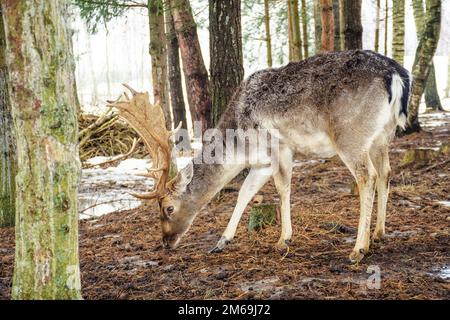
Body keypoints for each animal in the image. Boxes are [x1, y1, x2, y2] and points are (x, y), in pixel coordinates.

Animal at [109, 48, 412, 262]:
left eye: (168, 208)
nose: (166, 242)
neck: (239, 147)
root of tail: (396, 75)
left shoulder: (279, 147)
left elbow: (283, 189)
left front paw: (283, 240)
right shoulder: (262, 162)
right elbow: (245, 192)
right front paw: (222, 241)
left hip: (350, 135)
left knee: (367, 176)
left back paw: (358, 248)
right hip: (381, 136)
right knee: (385, 172)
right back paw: (379, 232)